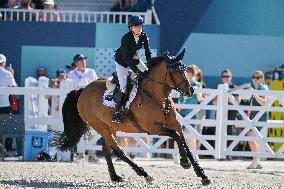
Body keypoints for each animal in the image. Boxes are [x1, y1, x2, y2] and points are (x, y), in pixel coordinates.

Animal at [56, 49, 211, 186]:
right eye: (175, 71)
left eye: (184, 69)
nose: (190, 90)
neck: (157, 97)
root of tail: (82, 91)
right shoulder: (153, 128)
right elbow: (176, 137)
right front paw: (184, 162)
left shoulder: (175, 124)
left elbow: (184, 142)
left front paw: (203, 175)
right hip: (100, 127)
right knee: (118, 150)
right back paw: (144, 174)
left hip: (110, 127)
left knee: (107, 149)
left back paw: (115, 177)